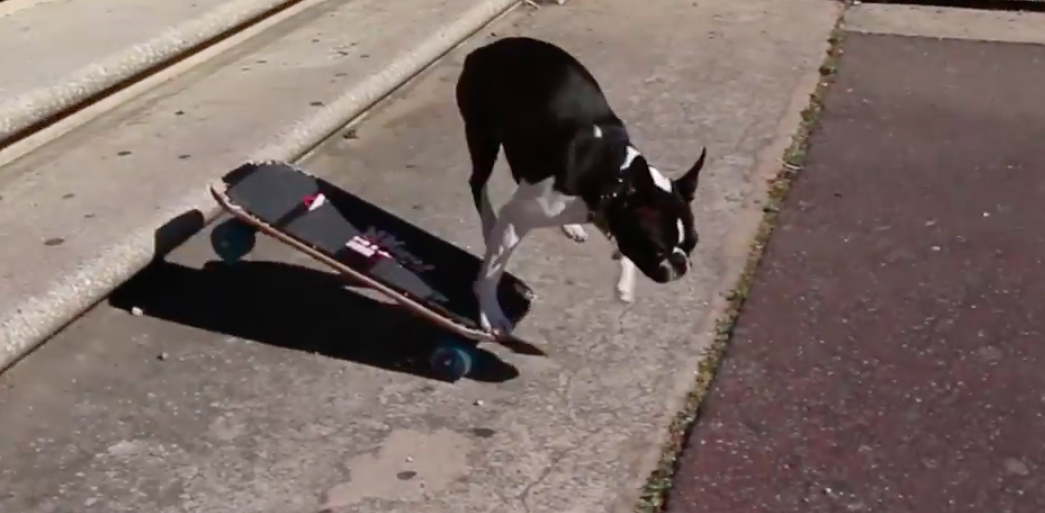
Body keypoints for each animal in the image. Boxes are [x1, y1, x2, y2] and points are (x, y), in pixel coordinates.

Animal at [453, 35, 706, 334]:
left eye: (693, 244)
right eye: (656, 248)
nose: (681, 263)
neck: (611, 174)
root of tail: (482, 51)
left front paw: (624, 278)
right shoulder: (517, 217)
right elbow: (492, 270)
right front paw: (490, 312)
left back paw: (570, 226)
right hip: (484, 136)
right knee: (477, 183)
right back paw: (490, 224)